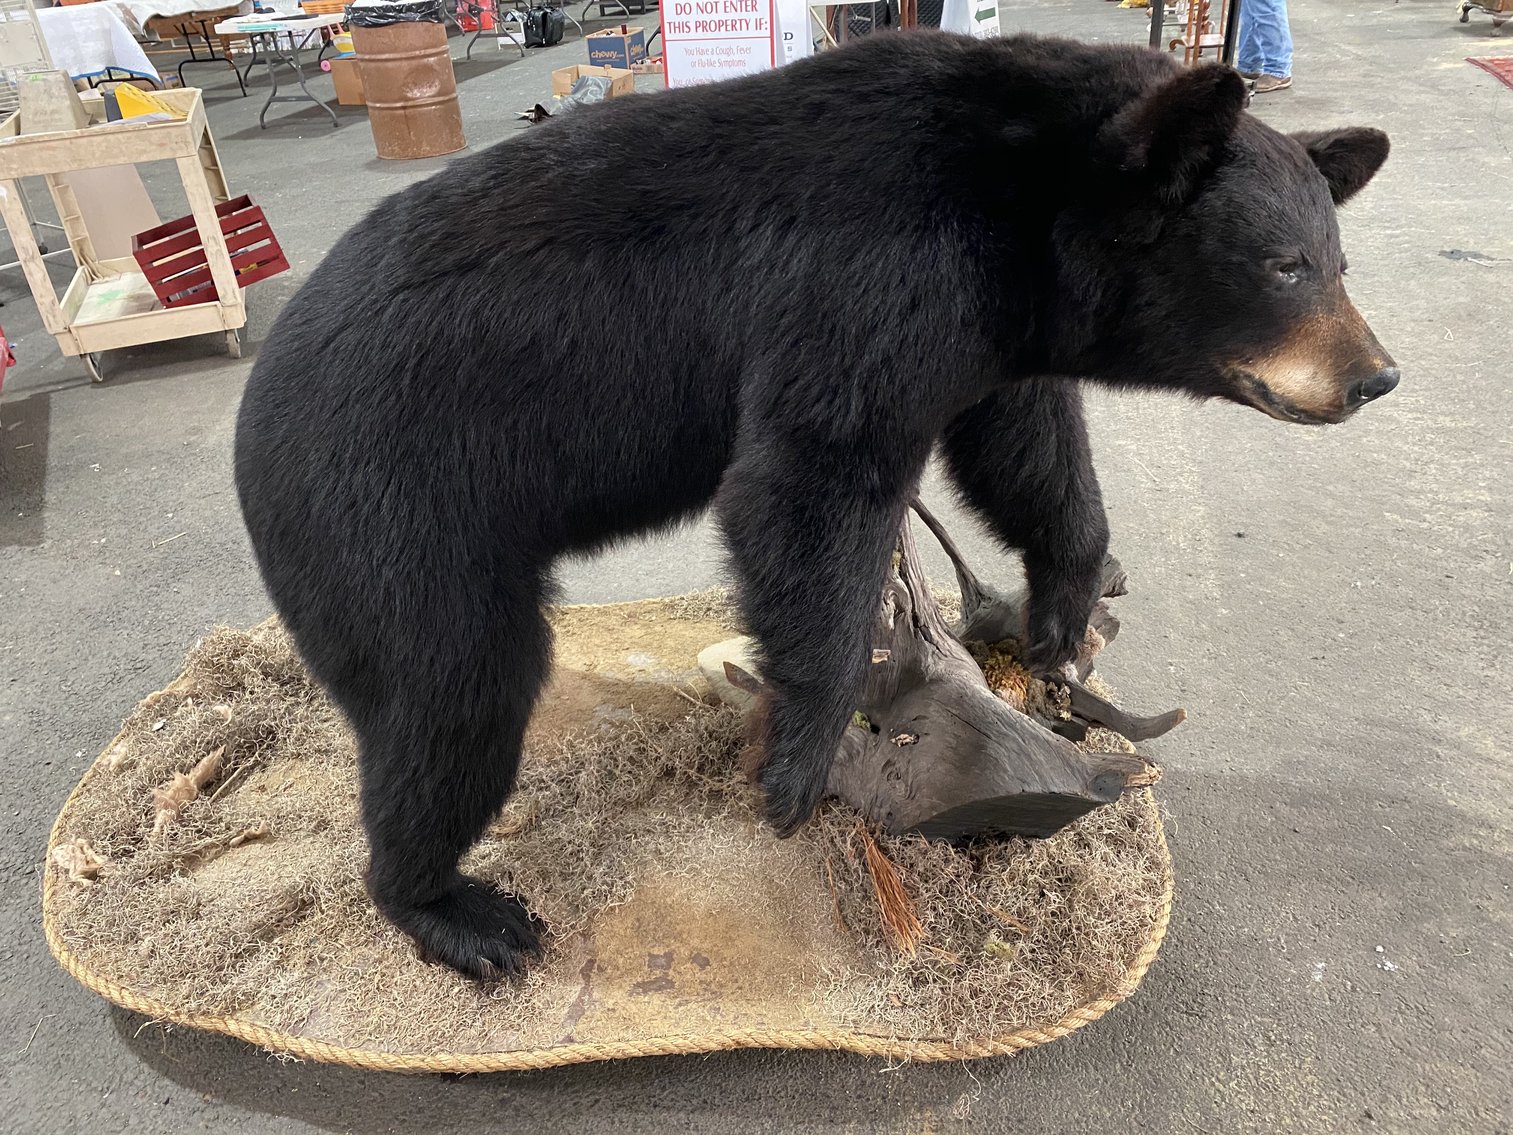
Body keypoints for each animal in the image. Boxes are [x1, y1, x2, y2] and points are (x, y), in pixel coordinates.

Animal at [234, 31, 1397, 979]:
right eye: (1284, 266)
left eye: (1340, 261)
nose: (1374, 376)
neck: (1019, 201)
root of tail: (256, 405)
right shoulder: (868, 270)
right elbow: (808, 477)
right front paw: (796, 766)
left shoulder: (990, 325)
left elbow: (1023, 440)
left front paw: (1063, 613)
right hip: (381, 497)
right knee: (448, 689)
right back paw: (462, 913)